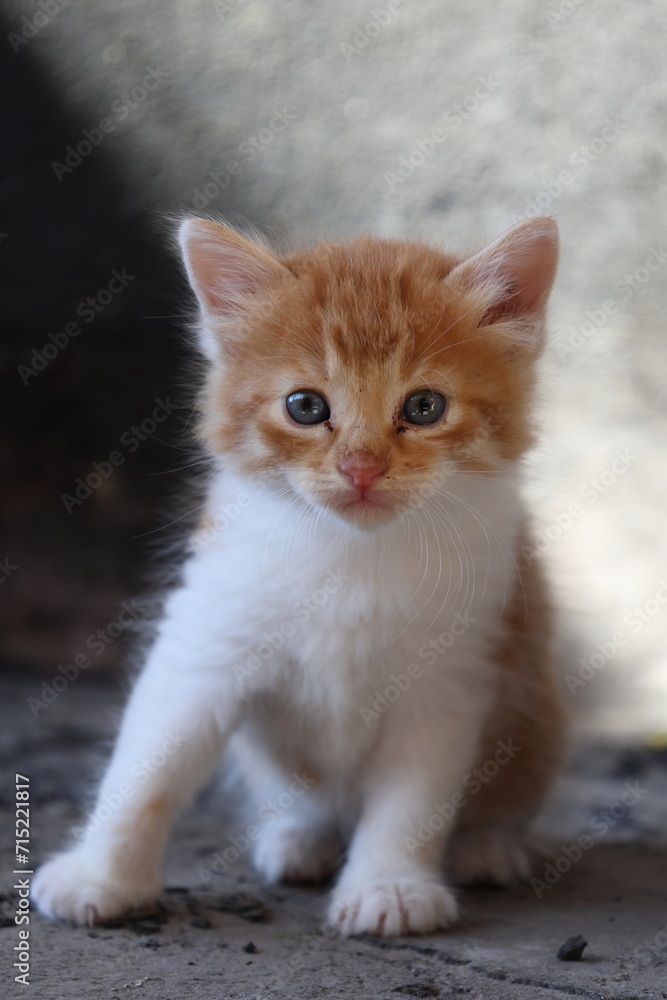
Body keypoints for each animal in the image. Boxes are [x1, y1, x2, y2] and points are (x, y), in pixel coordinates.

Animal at [34, 213, 568, 936]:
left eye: (424, 407)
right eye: (306, 407)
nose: (360, 467)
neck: (352, 556)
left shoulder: (453, 674)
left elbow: (413, 797)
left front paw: (390, 887)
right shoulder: (206, 633)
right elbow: (146, 766)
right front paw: (99, 875)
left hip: (535, 711)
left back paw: (487, 849)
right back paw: (297, 840)